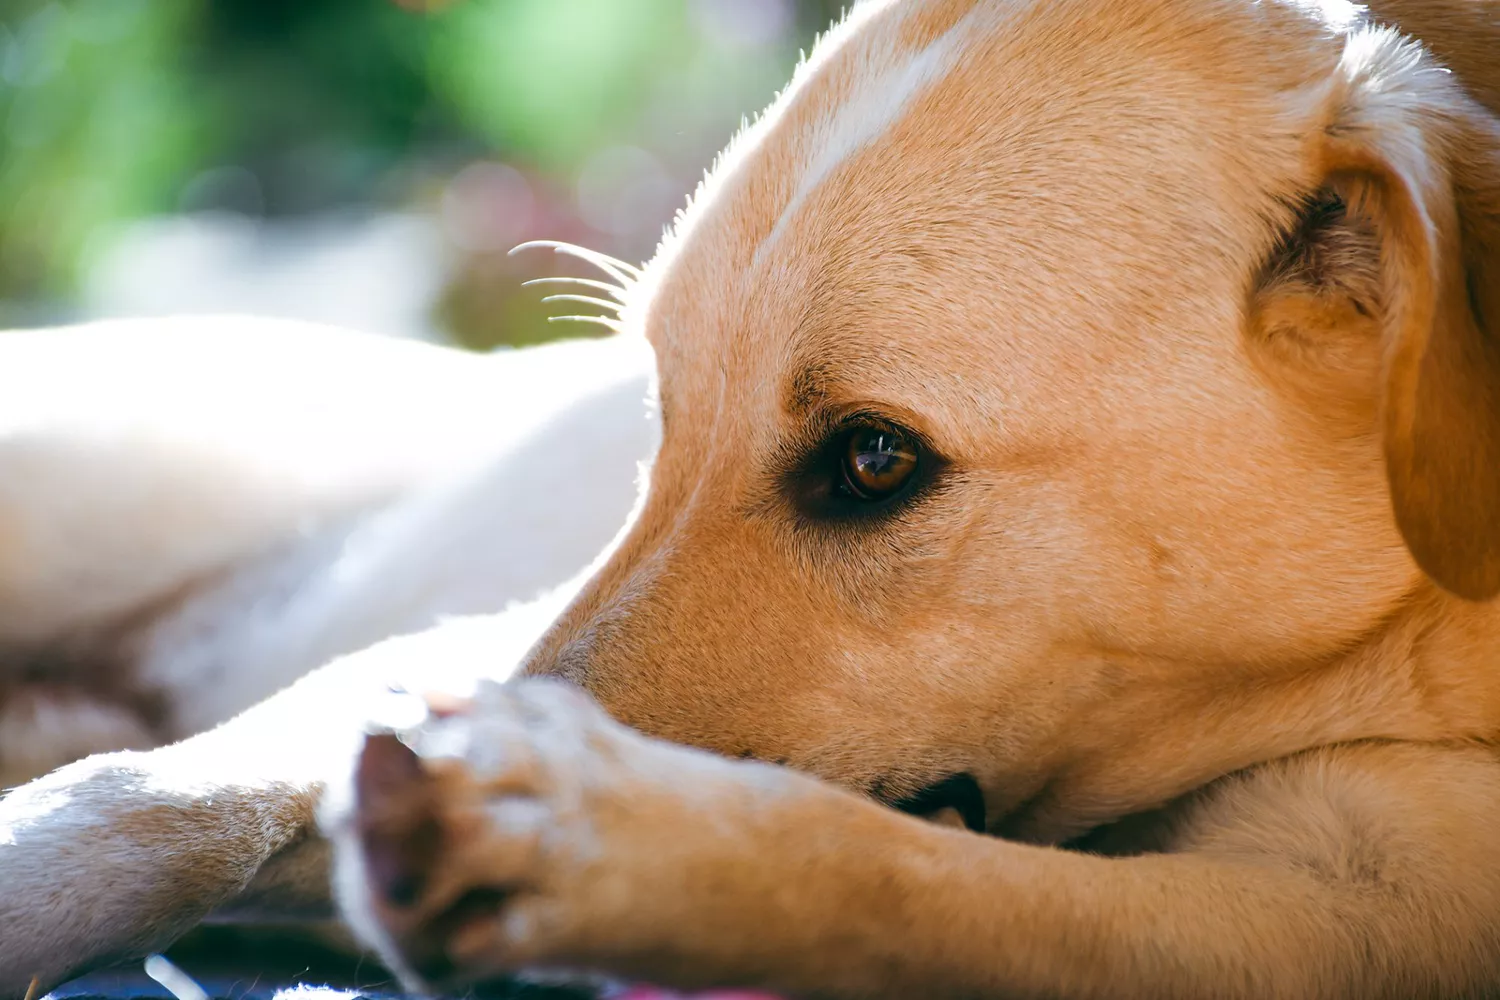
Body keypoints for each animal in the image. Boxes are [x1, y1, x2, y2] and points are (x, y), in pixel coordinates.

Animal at [2, 0, 1500, 995]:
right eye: (659, 410)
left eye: (876, 458)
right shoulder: (439, 649)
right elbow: (161, 792)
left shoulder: (1339, 914)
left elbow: (897, 877)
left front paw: (605, 846)